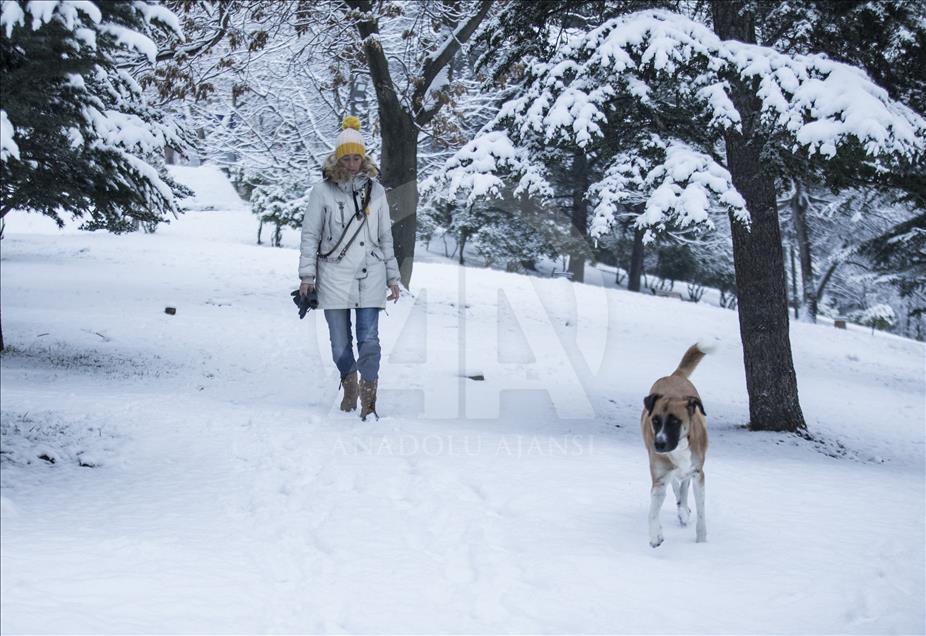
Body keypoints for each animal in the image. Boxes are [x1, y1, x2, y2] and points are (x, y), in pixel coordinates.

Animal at [640, 342, 716, 548]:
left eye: (675, 421)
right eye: (655, 420)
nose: (659, 444)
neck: (679, 447)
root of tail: (674, 376)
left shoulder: (698, 473)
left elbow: (701, 513)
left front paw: (701, 541)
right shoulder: (659, 476)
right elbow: (652, 511)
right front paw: (655, 536)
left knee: (683, 484)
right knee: (676, 484)